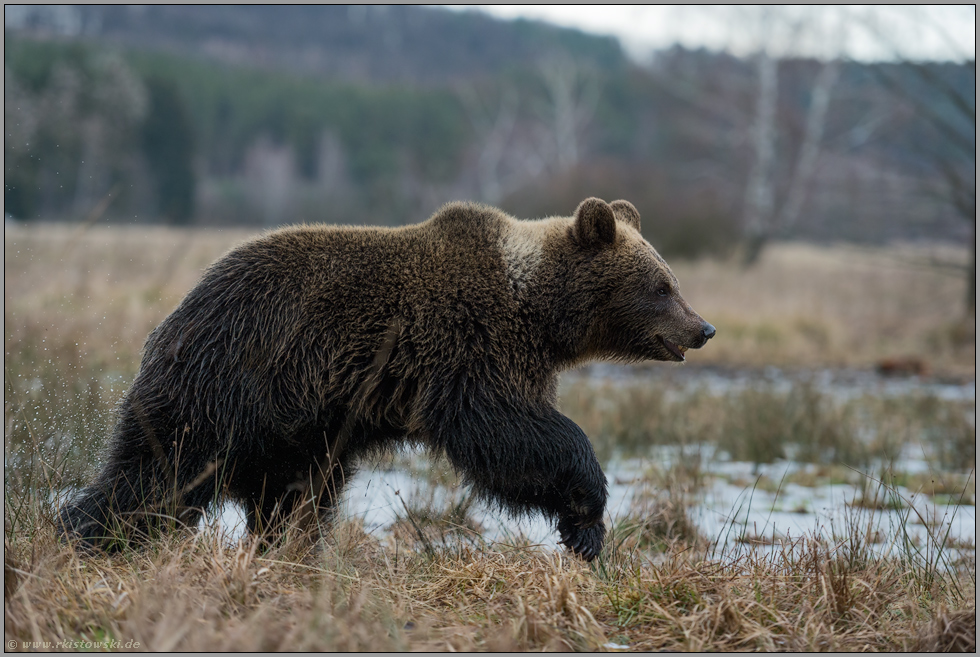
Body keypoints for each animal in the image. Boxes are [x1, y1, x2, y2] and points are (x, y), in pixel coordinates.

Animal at [59, 196, 712, 560]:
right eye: (662, 285)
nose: (702, 327)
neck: (537, 311)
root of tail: (175, 315)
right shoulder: (470, 345)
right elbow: (510, 433)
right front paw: (586, 518)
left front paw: (582, 528)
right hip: (231, 382)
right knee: (159, 476)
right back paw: (84, 536)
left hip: (297, 430)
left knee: (292, 497)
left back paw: (289, 552)